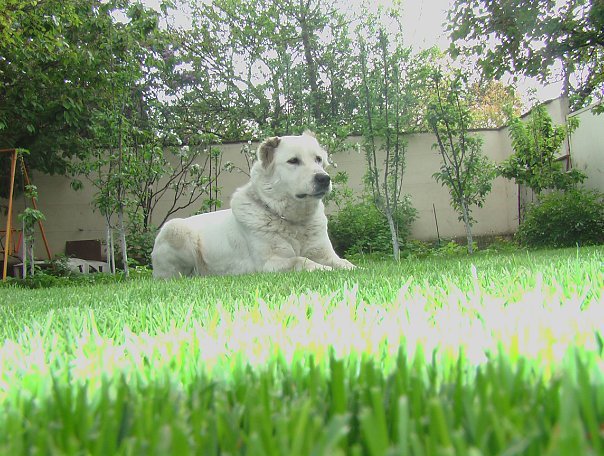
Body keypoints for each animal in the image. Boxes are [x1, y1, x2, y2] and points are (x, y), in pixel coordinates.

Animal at [151, 131, 355, 278]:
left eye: (318, 159)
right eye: (293, 161)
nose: (324, 179)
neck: (293, 221)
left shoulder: (326, 255)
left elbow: (346, 263)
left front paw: (350, 267)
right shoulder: (268, 264)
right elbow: (300, 260)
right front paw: (324, 269)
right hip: (175, 229)